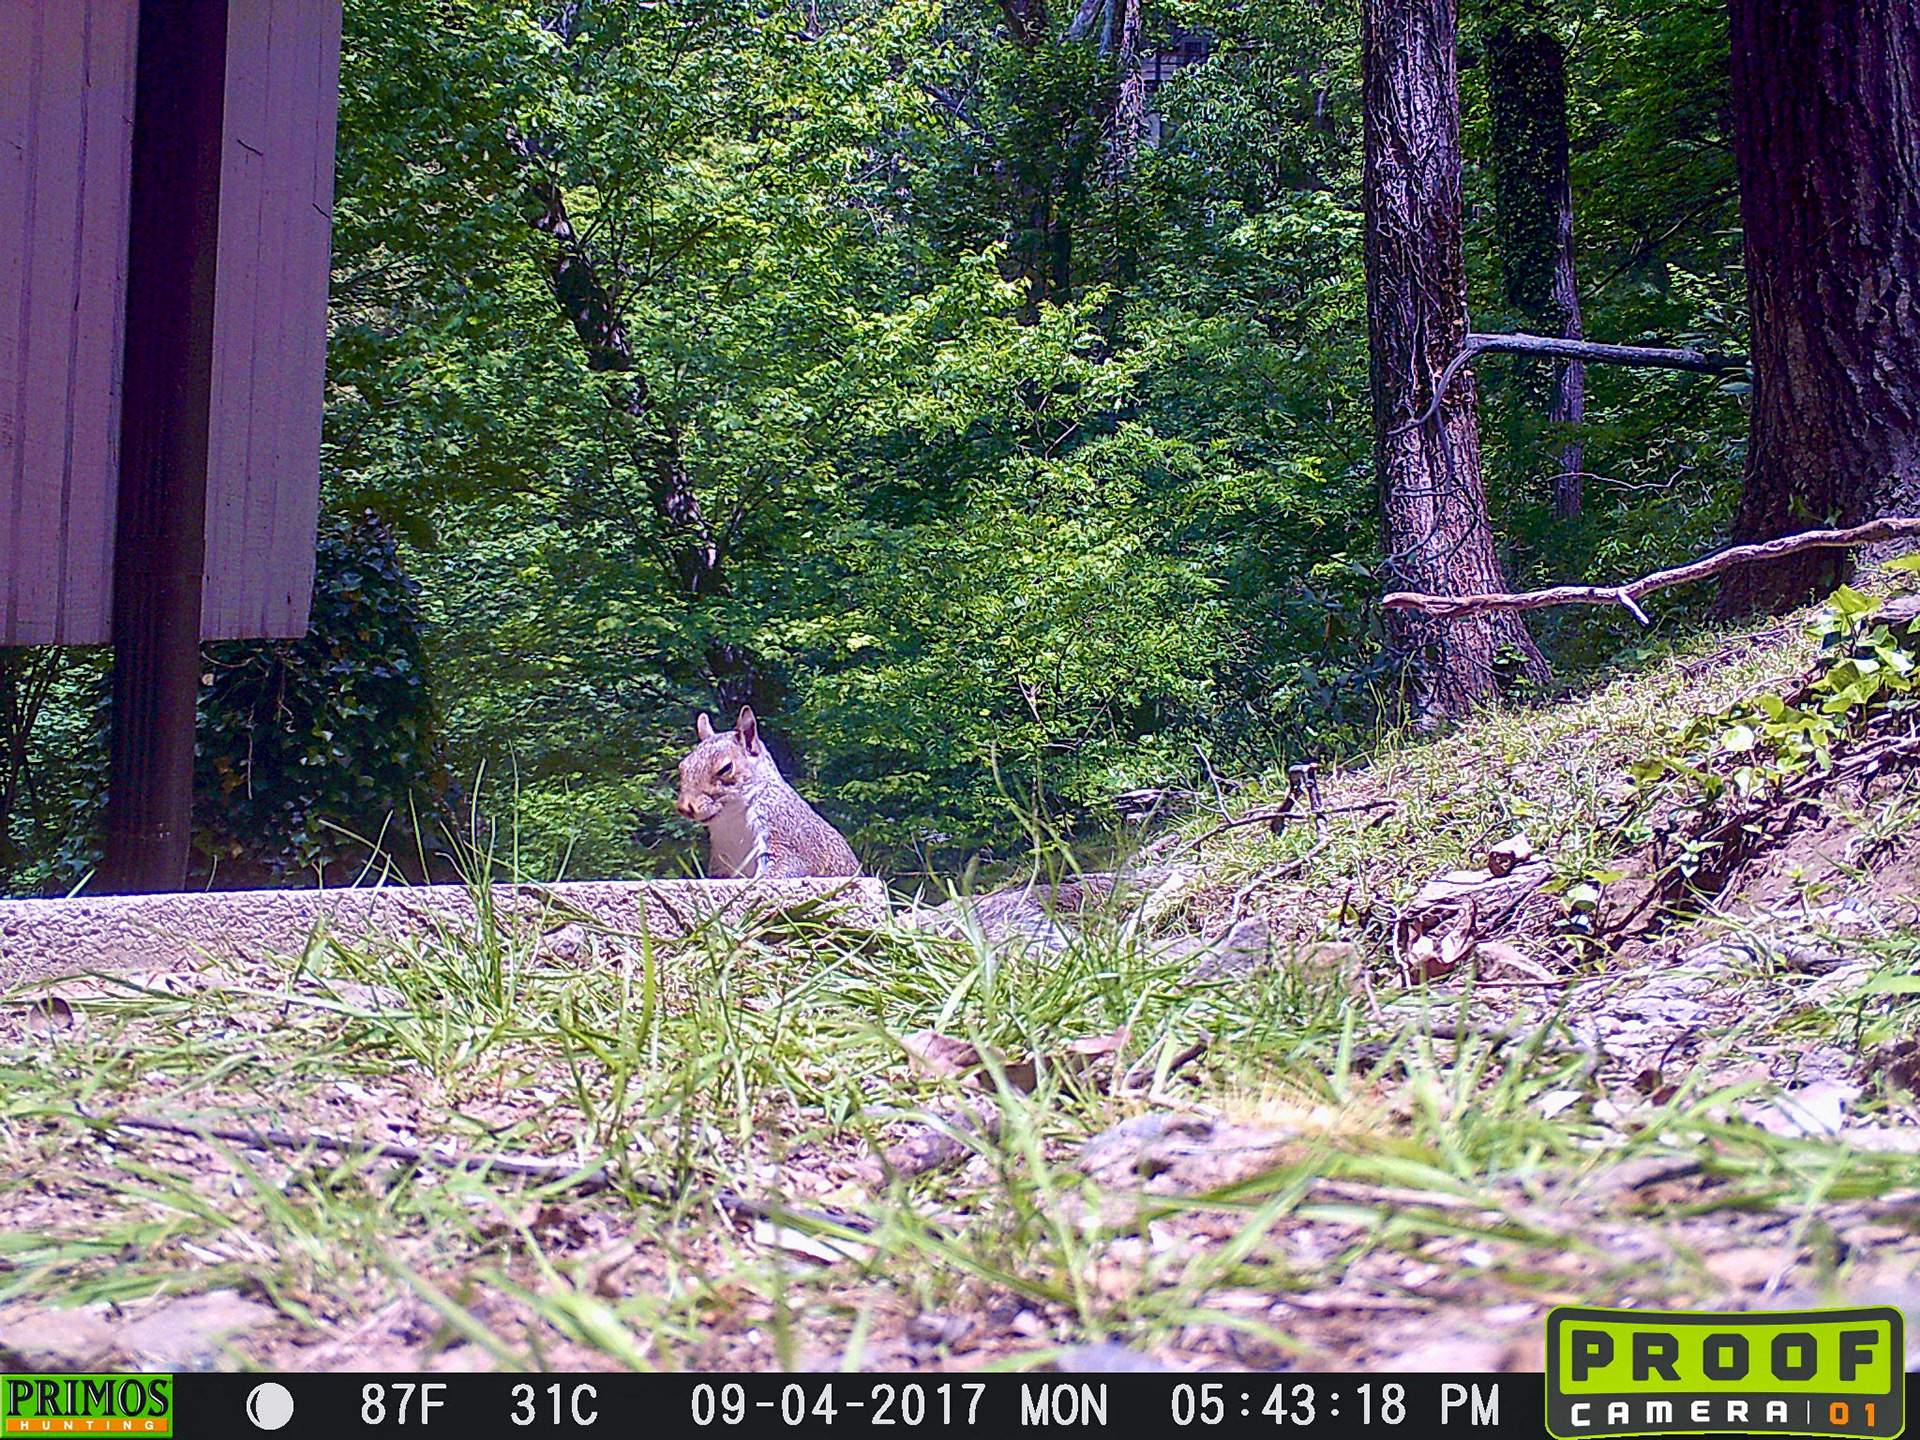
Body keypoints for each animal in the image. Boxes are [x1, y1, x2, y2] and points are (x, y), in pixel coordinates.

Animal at [674, 707, 862, 880]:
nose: (685, 807)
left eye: (726, 768)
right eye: (683, 766)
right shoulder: (721, 862)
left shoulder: (786, 835)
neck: (732, 819)